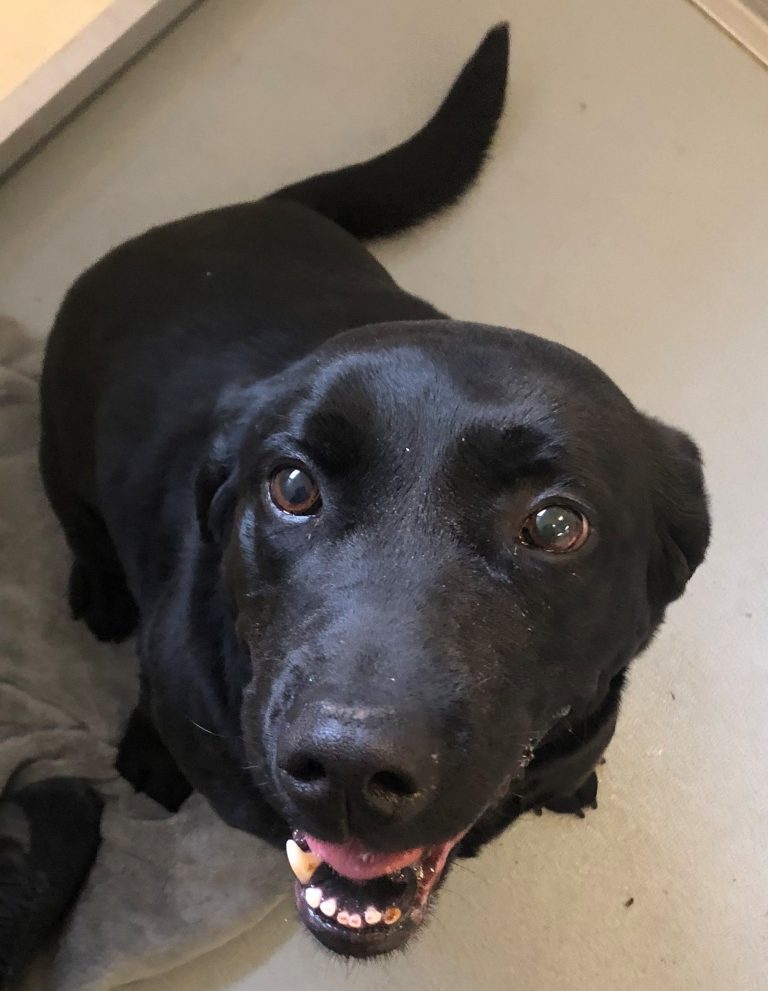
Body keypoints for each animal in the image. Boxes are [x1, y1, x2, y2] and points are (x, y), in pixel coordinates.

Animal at [3, 22, 711, 979]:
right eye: (293, 485)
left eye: (557, 524)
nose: (347, 769)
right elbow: (156, 700)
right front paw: (149, 749)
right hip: (62, 453)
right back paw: (102, 590)